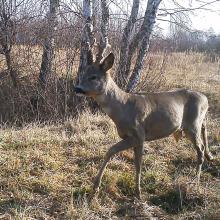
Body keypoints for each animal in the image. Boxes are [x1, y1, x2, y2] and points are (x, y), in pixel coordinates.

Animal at [74, 51, 213, 198]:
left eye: (93, 77)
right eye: (82, 75)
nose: (76, 88)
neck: (123, 108)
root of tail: (206, 99)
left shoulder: (140, 135)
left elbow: (136, 163)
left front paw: (138, 192)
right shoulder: (129, 137)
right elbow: (112, 151)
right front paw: (96, 186)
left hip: (193, 125)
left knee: (201, 148)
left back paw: (195, 180)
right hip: (196, 125)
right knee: (203, 142)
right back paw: (206, 162)